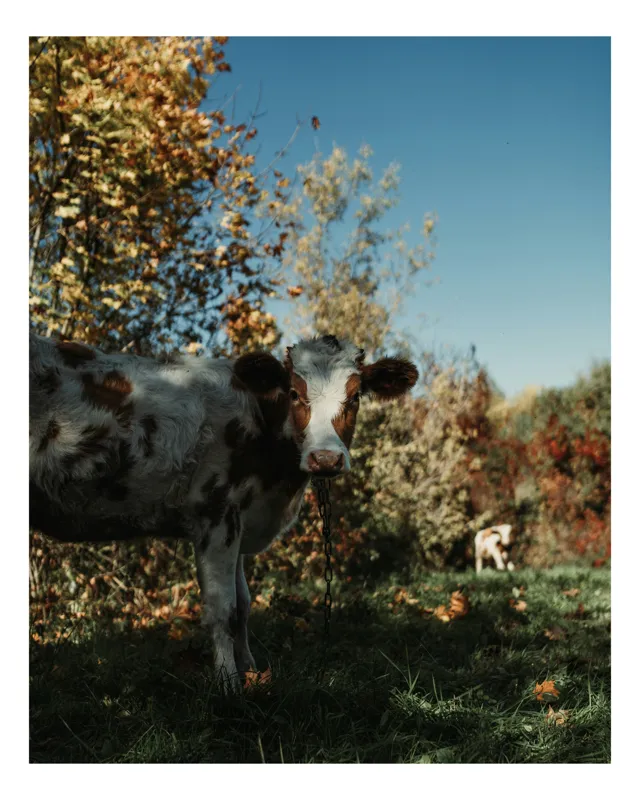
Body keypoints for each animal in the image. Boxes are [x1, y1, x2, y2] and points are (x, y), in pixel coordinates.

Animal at [29, 332, 418, 690]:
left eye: (355, 396)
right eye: (294, 394)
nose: (325, 458)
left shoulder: (241, 522)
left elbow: (244, 604)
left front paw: (251, 670)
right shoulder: (216, 515)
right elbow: (223, 609)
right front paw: (228, 681)